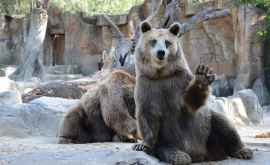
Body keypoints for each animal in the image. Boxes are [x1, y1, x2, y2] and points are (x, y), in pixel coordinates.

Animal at [133, 21, 253, 164]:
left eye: (167, 42)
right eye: (153, 41)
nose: (161, 53)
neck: (161, 74)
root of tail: (203, 155)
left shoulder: (179, 81)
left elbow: (190, 103)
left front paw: (203, 75)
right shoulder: (148, 85)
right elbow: (147, 114)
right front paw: (142, 145)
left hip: (207, 132)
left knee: (223, 124)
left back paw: (243, 151)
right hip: (166, 140)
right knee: (166, 148)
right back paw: (180, 156)